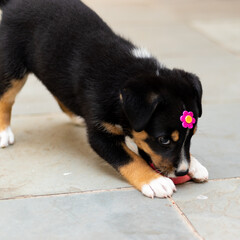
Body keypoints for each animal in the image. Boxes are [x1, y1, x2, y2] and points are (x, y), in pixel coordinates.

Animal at [0, 0, 208, 199]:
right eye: (163, 140)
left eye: (192, 134)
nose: (182, 171)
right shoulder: (100, 134)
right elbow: (130, 159)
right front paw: (155, 182)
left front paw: (195, 165)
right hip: (13, 67)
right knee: (6, 99)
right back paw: (4, 133)